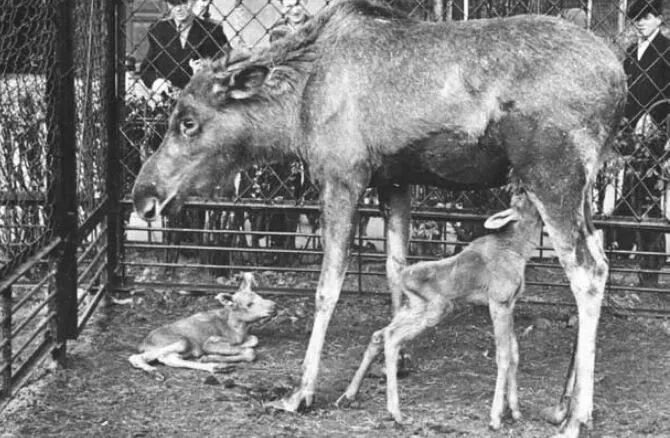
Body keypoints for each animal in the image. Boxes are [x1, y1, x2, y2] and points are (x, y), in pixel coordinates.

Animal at [129, 274, 276, 380]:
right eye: (249, 304)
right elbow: (251, 352)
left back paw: (218, 367)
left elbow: (254, 340)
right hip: (181, 341)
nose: (274, 306)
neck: (239, 329)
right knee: (138, 357)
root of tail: (143, 343)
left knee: (170, 359)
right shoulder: (209, 342)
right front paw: (209, 356)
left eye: (261, 296)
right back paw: (156, 372)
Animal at [338, 192, 544, 428]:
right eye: (523, 200)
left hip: (415, 306)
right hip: (438, 309)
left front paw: (515, 410)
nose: (524, 191)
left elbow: (515, 354)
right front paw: (496, 416)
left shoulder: (510, 303)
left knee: (379, 334)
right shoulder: (498, 301)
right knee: (392, 337)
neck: (520, 250)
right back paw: (395, 412)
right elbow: (504, 356)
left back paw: (349, 395)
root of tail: (402, 278)